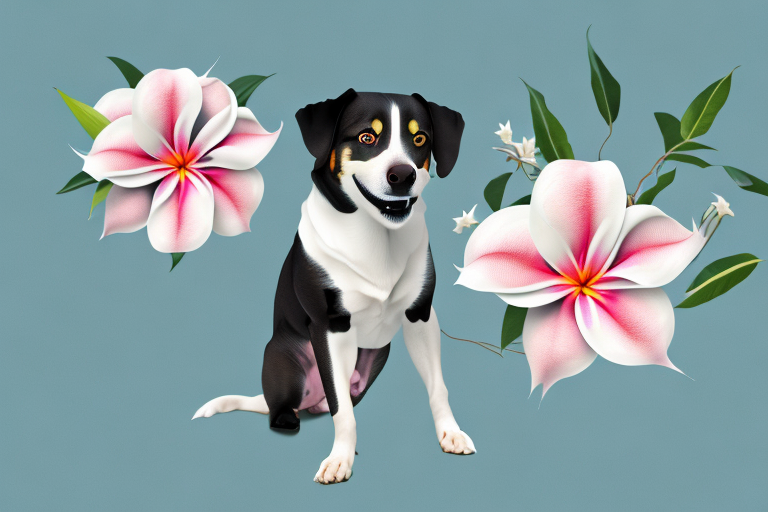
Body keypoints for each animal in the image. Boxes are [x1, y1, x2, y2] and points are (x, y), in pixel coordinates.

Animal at [192, 89, 474, 484]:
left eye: (420, 140)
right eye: (367, 138)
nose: (402, 175)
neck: (377, 235)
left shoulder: (420, 316)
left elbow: (437, 387)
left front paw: (451, 433)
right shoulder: (331, 326)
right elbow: (343, 412)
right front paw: (339, 460)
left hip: (375, 358)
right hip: (281, 356)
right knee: (293, 406)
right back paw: (288, 418)